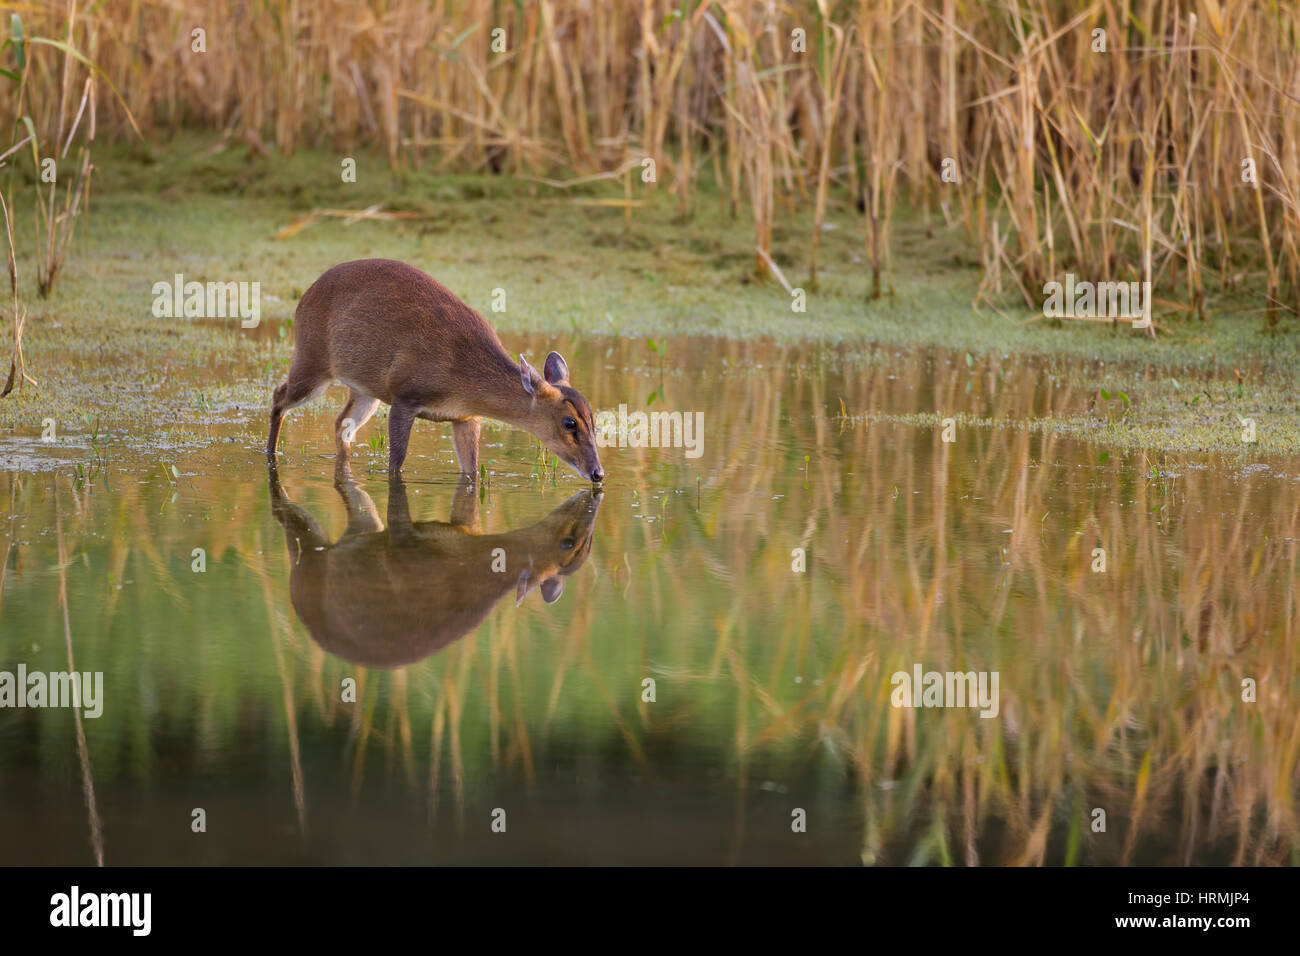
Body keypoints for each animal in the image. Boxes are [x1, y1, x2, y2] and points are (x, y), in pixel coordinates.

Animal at [267, 259, 605, 483]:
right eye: (569, 422)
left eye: (594, 420)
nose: (598, 473)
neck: (463, 376)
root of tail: (305, 296)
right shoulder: (405, 396)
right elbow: (396, 464)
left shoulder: (466, 418)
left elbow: (471, 471)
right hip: (312, 360)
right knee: (279, 396)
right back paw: (270, 457)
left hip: (366, 390)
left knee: (342, 424)